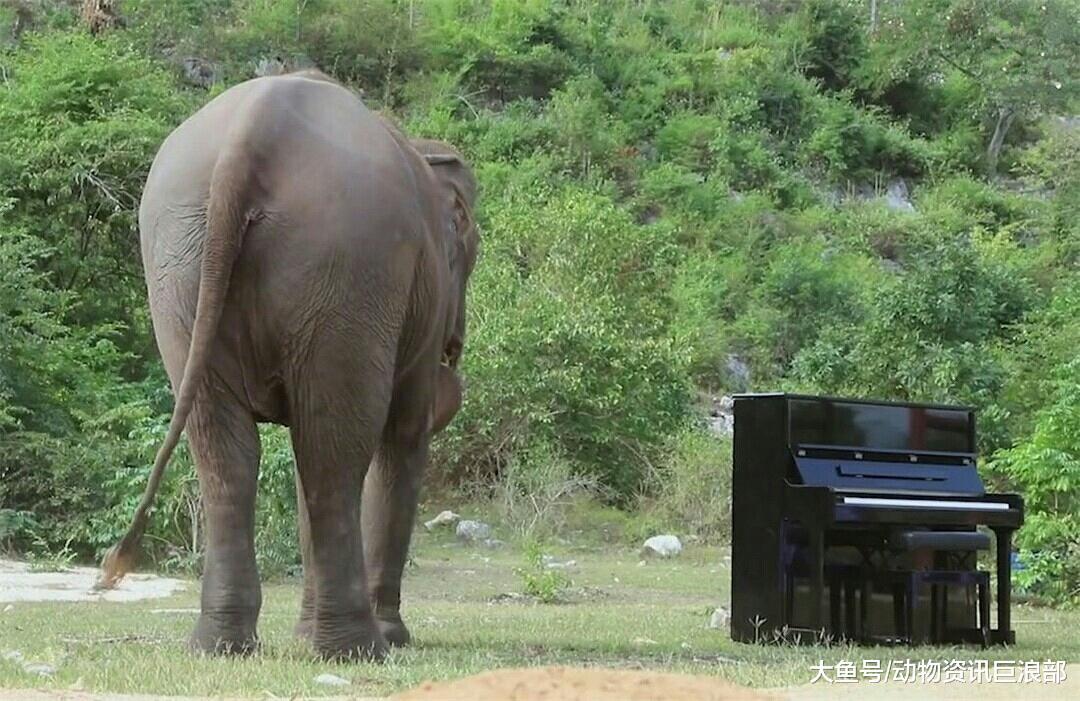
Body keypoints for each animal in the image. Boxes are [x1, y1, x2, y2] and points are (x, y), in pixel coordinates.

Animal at [97, 70, 479, 661]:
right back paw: (359, 649)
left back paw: (222, 646)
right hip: (348, 264)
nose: (454, 352)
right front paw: (396, 638)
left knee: (234, 449)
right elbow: (404, 437)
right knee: (333, 450)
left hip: (179, 261)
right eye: (474, 248)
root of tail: (251, 136)